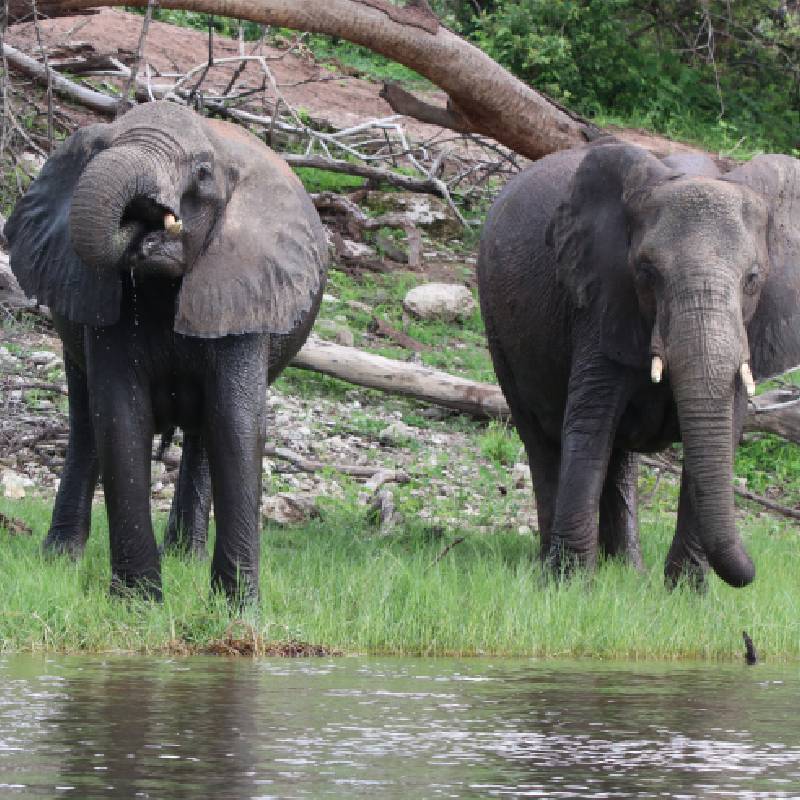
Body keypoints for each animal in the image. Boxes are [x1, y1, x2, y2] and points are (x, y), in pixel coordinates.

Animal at [3, 100, 328, 600]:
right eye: (98, 149)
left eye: (202, 172)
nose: (143, 226)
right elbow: (120, 416)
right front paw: (138, 601)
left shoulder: (245, 290)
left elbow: (236, 423)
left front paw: (236, 609)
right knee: (85, 422)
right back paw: (62, 558)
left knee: (203, 434)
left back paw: (184, 558)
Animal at [478, 139, 796, 588]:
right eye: (646, 273)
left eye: (753, 279)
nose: (752, 572)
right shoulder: (599, 301)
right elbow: (588, 426)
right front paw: (572, 586)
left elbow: (724, 431)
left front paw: (685, 593)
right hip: (495, 322)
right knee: (540, 438)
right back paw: (551, 565)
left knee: (620, 457)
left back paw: (629, 570)